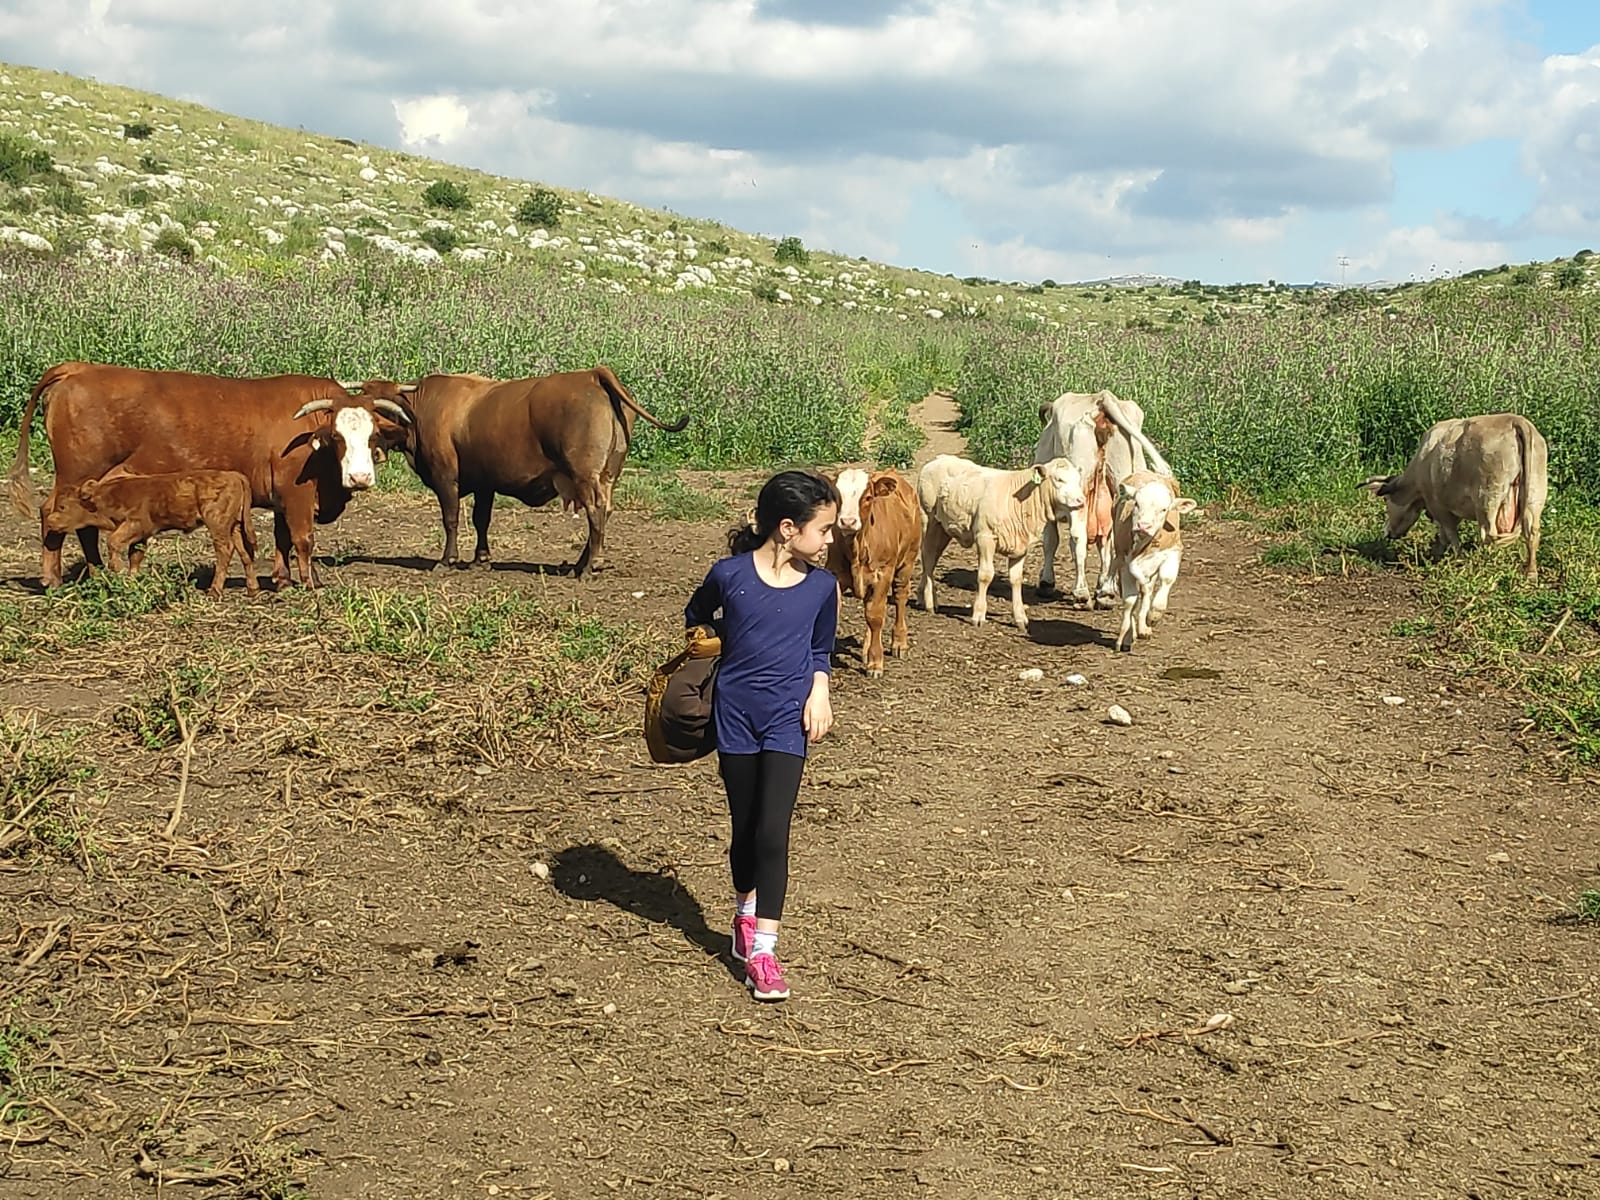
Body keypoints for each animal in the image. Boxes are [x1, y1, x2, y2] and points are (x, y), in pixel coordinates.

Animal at [45, 470, 259, 601]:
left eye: (62, 507)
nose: (50, 521)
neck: (103, 498)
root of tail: (233, 475)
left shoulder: (136, 525)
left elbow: (113, 542)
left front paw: (118, 570)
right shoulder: (141, 536)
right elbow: (135, 556)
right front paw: (131, 582)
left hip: (217, 524)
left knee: (225, 550)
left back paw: (214, 591)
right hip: (235, 526)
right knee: (245, 552)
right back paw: (252, 589)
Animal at [921, 454, 1081, 640]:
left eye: (1078, 480)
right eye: (1059, 479)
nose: (1081, 500)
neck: (1019, 500)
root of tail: (940, 458)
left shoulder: (1021, 547)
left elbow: (1016, 579)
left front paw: (1020, 618)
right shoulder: (985, 537)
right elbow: (985, 575)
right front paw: (978, 615)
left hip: (944, 528)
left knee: (932, 557)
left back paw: (921, 596)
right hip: (929, 520)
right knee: (927, 556)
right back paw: (929, 602)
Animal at [1120, 473, 1196, 659]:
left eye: (1164, 509)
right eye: (1136, 504)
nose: (1143, 526)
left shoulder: (1173, 552)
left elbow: (1166, 579)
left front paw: (1154, 616)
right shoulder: (1124, 561)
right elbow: (1130, 600)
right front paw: (1126, 636)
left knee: (1147, 592)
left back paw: (1144, 626)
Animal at [1363, 416, 1548, 579]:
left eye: (1386, 500)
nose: (1387, 532)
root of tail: (1514, 420)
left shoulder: (1438, 505)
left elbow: (1450, 534)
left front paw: (1457, 560)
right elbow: (1444, 536)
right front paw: (1435, 556)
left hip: (1488, 500)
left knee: (1490, 535)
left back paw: (1485, 566)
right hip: (1534, 496)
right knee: (1532, 533)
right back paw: (1531, 574)